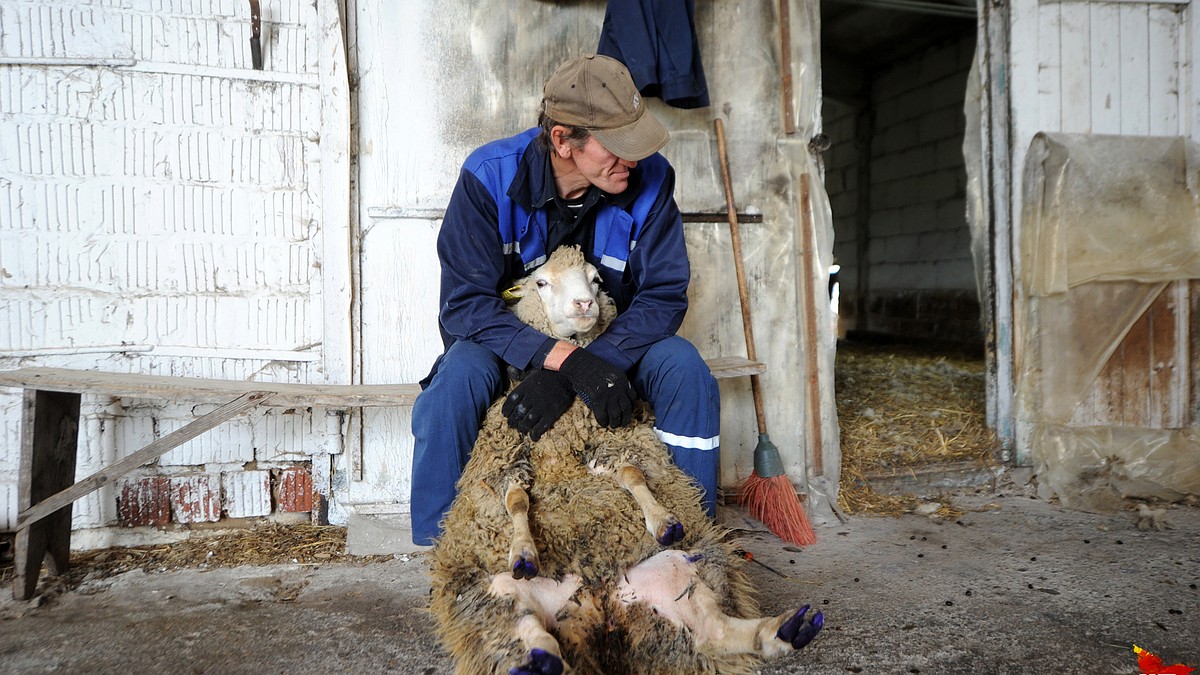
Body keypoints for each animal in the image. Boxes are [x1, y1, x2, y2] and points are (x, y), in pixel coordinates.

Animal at [427, 246, 820, 672]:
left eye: (596, 280)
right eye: (541, 282)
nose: (584, 303)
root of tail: (600, 605)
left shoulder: (611, 441)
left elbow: (632, 475)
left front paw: (663, 520)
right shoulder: (504, 456)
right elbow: (516, 500)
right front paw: (523, 549)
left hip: (680, 569)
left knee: (714, 629)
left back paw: (788, 630)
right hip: (494, 594)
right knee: (526, 627)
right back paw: (540, 659)